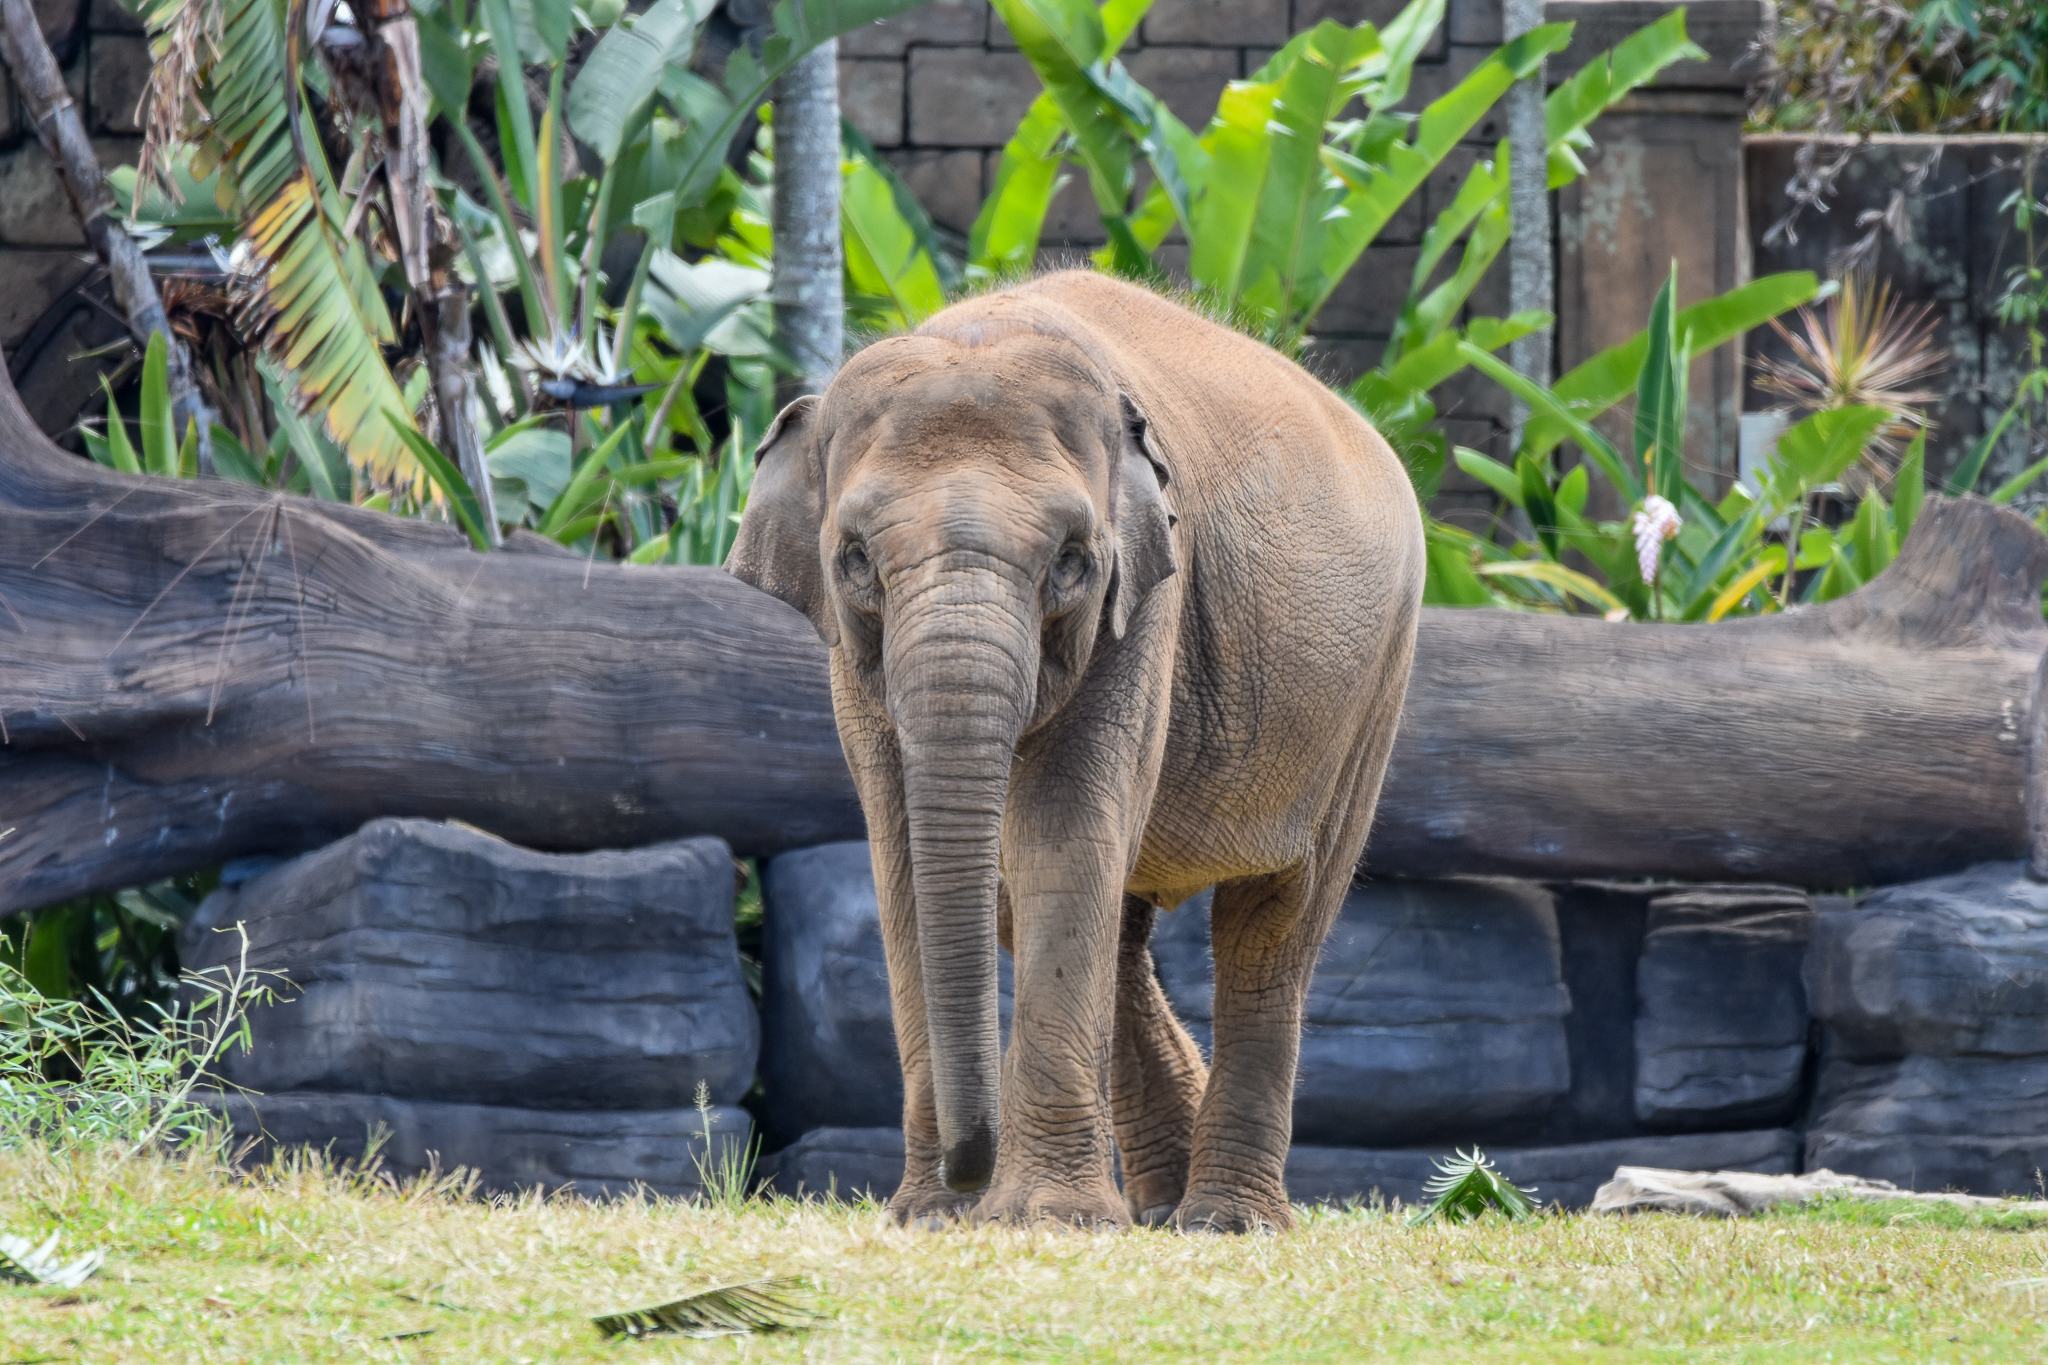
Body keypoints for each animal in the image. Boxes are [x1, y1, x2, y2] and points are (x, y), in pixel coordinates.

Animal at [728, 270, 1423, 1233]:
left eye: (1070, 560)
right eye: (855, 558)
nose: (965, 1176)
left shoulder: (1145, 598)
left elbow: (1061, 835)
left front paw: (1045, 1218)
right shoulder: (852, 656)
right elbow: (908, 859)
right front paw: (929, 1218)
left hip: (1374, 685)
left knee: (1274, 923)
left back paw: (1224, 1219)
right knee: (1109, 922)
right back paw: (1162, 1204)